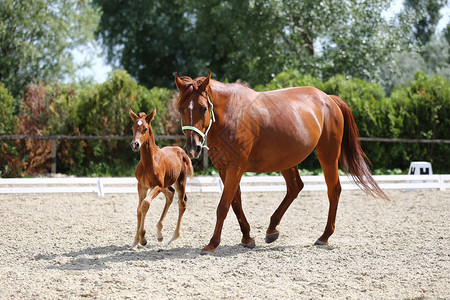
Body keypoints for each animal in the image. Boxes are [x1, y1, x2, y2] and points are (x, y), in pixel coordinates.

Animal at [129, 109, 194, 250]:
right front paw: (135, 242)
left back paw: (173, 238)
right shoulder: (141, 186)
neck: (148, 162)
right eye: (133, 127)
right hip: (166, 184)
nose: (135, 144)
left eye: (145, 128)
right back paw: (159, 234)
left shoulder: (157, 185)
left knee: (182, 202)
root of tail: (181, 151)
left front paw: (143, 238)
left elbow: (145, 204)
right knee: (170, 194)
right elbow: (138, 209)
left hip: (179, 182)